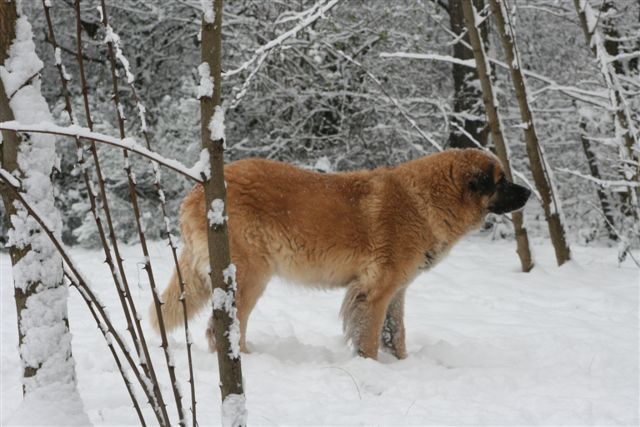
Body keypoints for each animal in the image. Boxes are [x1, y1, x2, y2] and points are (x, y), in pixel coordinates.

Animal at [150, 149, 528, 360]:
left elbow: (396, 334)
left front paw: (401, 364)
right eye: (501, 181)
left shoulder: (396, 291)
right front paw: (371, 368)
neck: (425, 200)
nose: (527, 192)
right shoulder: (375, 292)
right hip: (250, 277)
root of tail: (197, 191)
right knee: (225, 330)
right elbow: (371, 338)